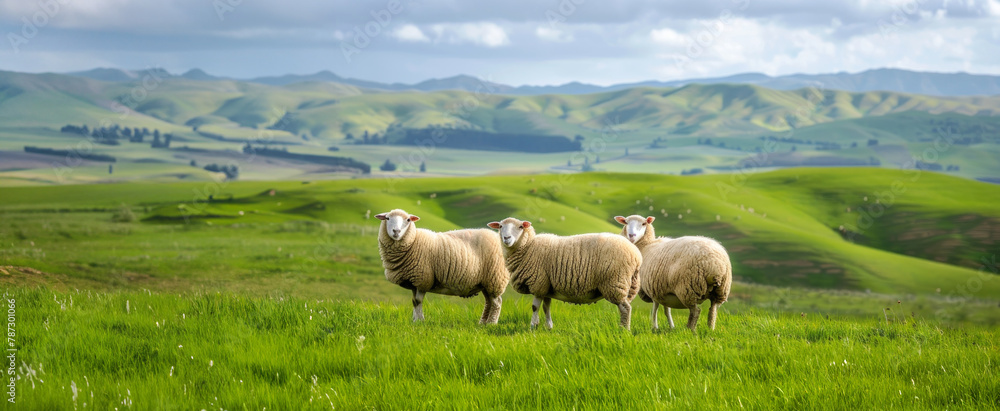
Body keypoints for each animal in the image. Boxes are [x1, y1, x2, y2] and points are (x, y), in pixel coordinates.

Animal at [376, 209, 509, 324]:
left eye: (408, 220)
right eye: (387, 218)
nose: (396, 231)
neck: (413, 241)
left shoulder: (423, 279)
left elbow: (418, 301)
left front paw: (420, 321)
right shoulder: (414, 281)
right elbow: (414, 301)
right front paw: (415, 320)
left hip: (495, 278)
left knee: (497, 302)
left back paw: (492, 323)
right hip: (486, 282)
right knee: (489, 302)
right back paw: (483, 323)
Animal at [487, 217, 642, 330]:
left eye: (520, 227)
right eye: (500, 226)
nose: (506, 238)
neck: (528, 247)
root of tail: (636, 255)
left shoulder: (538, 283)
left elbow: (535, 307)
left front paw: (532, 326)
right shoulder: (546, 285)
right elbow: (546, 307)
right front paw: (549, 327)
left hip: (615, 281)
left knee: (625, 308)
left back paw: (623, 329)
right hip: (626, 283)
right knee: (626, 306)